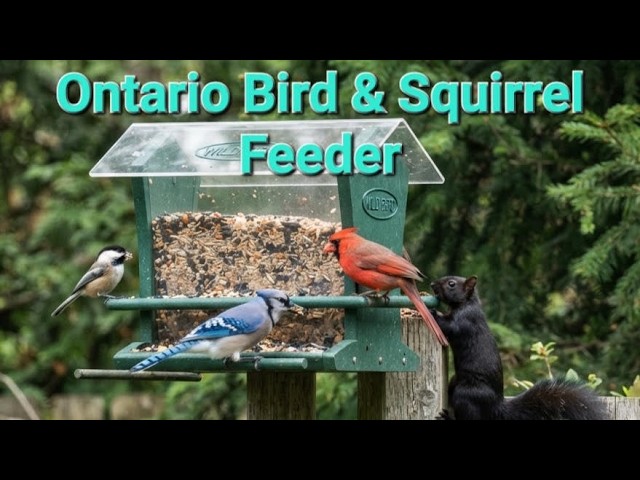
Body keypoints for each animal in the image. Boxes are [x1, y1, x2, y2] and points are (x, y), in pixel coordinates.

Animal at [429, 275, 607, 420]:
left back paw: (447, 418)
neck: (466, 303)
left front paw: (433, 313)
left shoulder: (466, 320)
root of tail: (496, 407)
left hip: (466, 395)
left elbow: (450, 326)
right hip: (456, 380)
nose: (432, 284)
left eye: (451, 284)